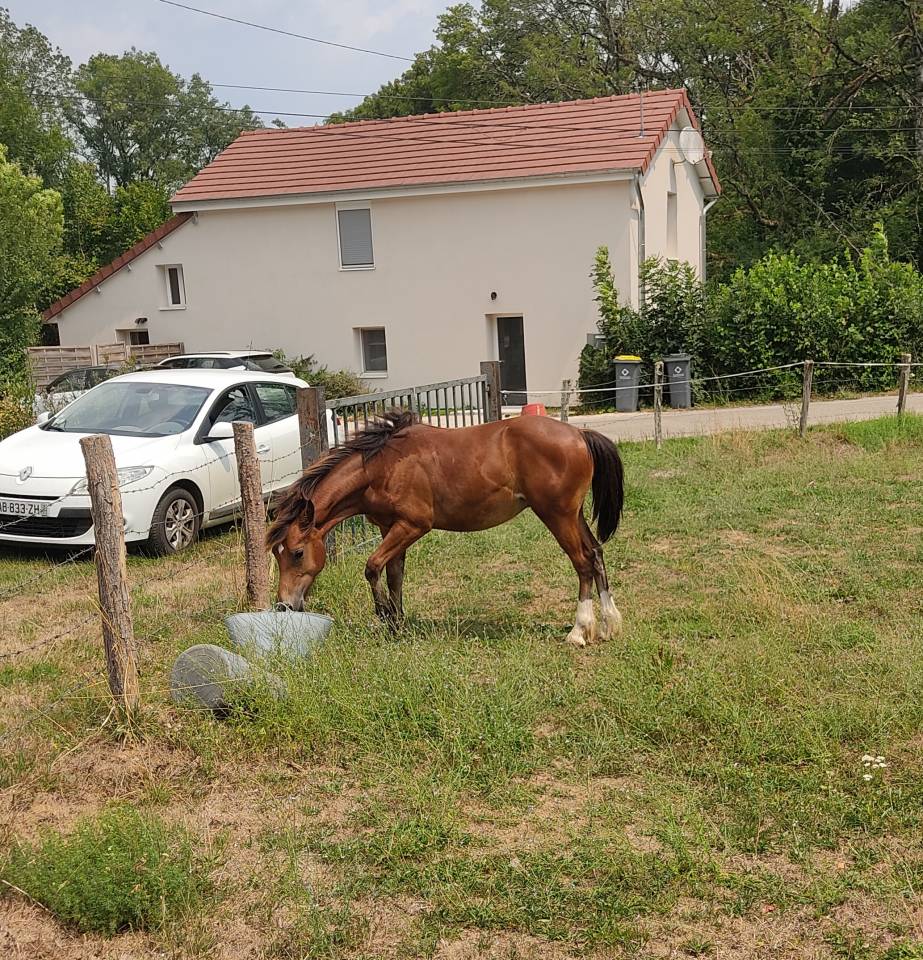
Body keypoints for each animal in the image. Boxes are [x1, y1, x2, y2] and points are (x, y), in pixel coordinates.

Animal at [266, 411, 625, 647]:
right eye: (276, 554)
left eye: (297, 553)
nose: (284, 605)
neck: (381, 466)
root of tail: (579, 435)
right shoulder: (390, 529)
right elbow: (394, 575)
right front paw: (397, 625)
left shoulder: (413, 526)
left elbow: (372, 567)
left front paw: (384, 615)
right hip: (574, 515)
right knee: (595, 553)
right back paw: (609, 624)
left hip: (557, 515)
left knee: (582, 562)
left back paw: (579, 631)